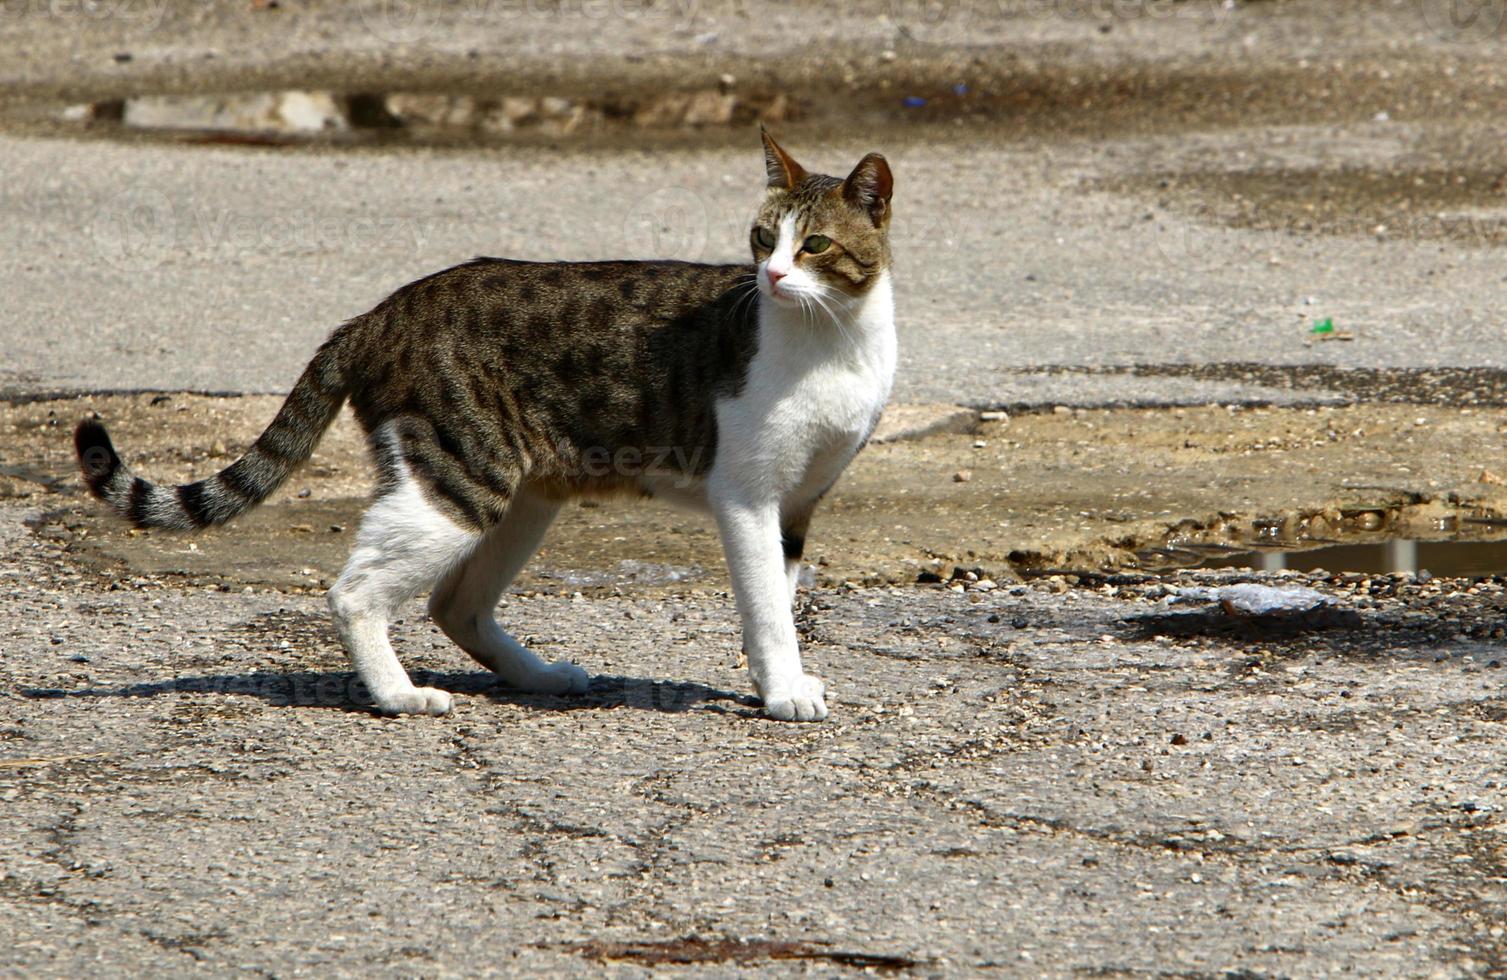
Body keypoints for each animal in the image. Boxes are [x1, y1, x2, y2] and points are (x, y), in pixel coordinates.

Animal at [73, 129, 892, 720]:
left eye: (813, 245)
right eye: (761, 238)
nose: (771, 277)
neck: (833, 339)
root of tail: (377, 313)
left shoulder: (798, 504)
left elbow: (780, 598)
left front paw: (779, 681)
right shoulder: (747, 497)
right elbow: (766, 608)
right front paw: (781, 694)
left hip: (527, 496)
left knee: (454, 604)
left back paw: (539, 677)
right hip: (461, 479)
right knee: (356, 593)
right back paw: (400, 696)